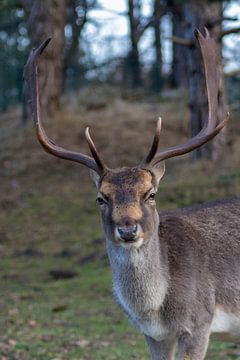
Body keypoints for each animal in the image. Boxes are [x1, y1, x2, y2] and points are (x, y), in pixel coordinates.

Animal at [24, 29, 240, 358]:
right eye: (101, 197)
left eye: (151, 194)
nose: (127, 229)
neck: (156, 310)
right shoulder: (153, 335)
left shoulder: (199, 323)